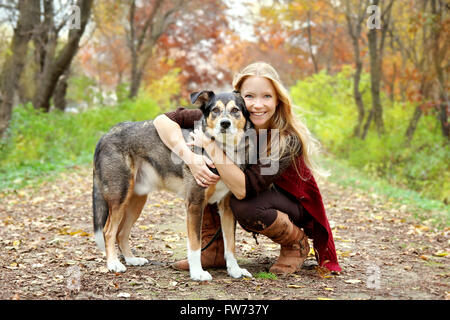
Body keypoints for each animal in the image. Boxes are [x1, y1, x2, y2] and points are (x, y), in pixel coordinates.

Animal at [92, 90, 253, 280]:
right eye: (215, 110)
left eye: (235, 110)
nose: (225, 124)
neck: (221, 152)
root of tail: (106, 135)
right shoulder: (195, 204)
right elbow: (195, 245)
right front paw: (197, 273)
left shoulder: (226, 208)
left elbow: (230, 245)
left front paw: (235, 270)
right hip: (120, 196)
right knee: (109, 231)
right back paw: (113, 264)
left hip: (136, 201)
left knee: (121, 232)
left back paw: (131, 259)